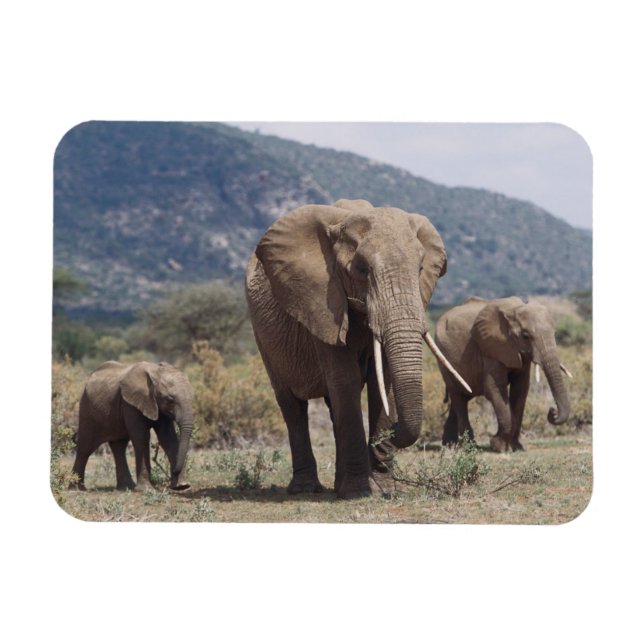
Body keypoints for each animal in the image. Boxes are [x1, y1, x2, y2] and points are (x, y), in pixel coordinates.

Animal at [70, 361, 194, 491]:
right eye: (170, 400)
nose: (174, 471)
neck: (155, 371)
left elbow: (168, 438)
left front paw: (182, 486)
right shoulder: (130, 404)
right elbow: (142, 438)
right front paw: (146, 489)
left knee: (119, 447)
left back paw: (125, 487)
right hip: (87, 409)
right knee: (85, 448)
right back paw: (76, 489)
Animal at [245, 198, 470, 499]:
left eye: (421, 268)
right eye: (362, 270)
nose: (393, 431)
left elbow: (381, 382)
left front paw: (384, 488)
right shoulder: (322, 303)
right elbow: (346, 380)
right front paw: (357, 492)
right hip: (264, 336)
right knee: (292, 405)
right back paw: (306, 489)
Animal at [435, 296, 573, 452]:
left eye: (555, 333)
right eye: (525, 336)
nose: (552, 410)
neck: (514, 309)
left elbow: (520, 389)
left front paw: (516, 447)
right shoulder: (491, 349)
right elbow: (495, 389)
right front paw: (498, 446)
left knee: (462, 396)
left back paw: (449, 445)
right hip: (443, 357)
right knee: (458, 396)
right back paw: (470, 447)